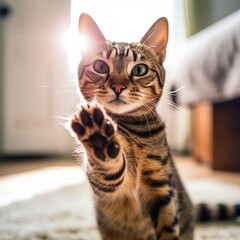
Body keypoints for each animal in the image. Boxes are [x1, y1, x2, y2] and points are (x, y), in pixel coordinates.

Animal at [69, 13, 238, 240]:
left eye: (139, 69)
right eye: (101, 67)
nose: (118, 86)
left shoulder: (162, 186)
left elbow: (168, 226)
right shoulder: (105, 184)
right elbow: (110, 168)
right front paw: (98, 138)